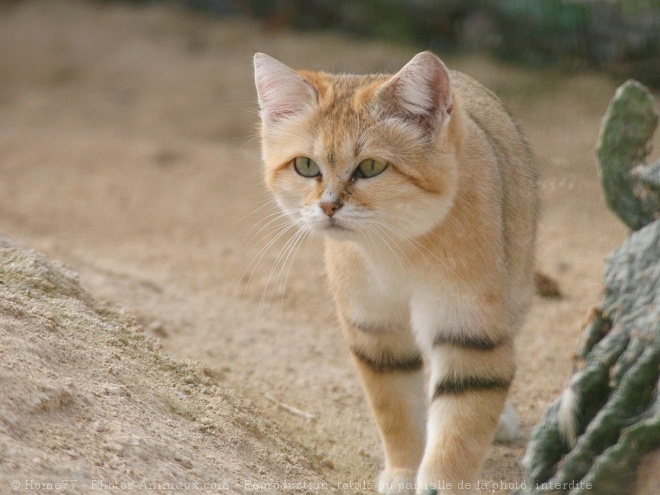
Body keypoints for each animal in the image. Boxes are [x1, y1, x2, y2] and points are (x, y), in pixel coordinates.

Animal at [253, 51, 536, 495]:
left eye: (370, 167)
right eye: (306, 166)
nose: (328, 206)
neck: (396, 250)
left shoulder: (468, 331)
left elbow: (461, 425)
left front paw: (439, 484)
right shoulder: (377, 331)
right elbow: (396, 410)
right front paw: (404, 471)